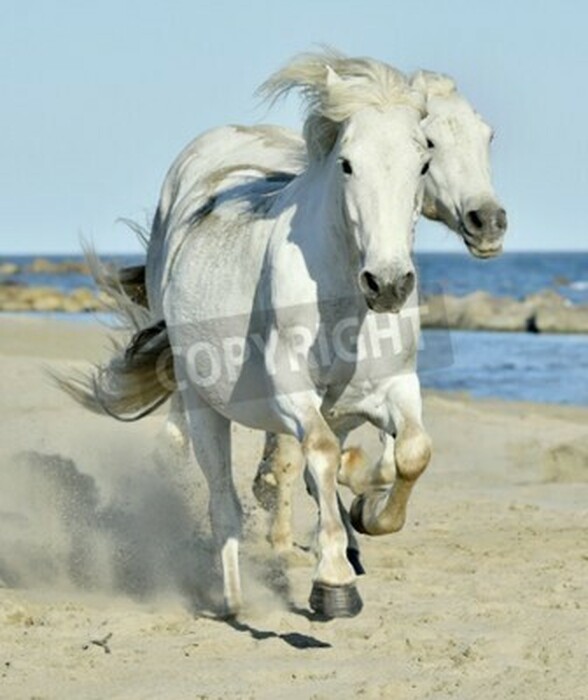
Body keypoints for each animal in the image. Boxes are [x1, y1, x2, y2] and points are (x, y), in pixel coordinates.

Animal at [62, 51, 433, 618]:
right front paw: (333, 587)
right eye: (347, 163)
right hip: (202, 404)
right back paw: (234, 599)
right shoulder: (288, 392)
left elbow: (412, 452)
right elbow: (322, 453)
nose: (388, 284)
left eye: (423, 164)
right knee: (221, 497)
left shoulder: (394, 386)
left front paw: (368, 514)